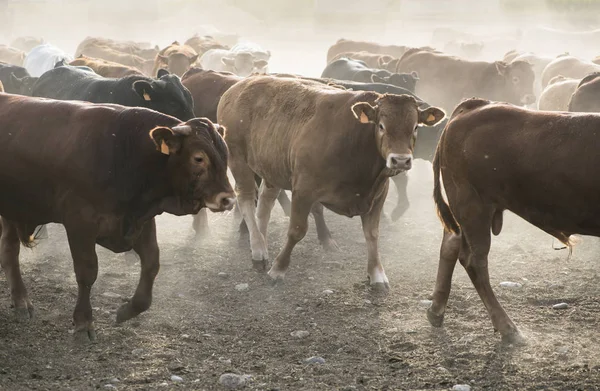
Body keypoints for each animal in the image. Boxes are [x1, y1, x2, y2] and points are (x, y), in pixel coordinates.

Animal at [0, 93, 234, 342]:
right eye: (199, 158)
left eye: (225, 155)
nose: (228, 199)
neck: (124, 151)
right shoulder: (79, 222)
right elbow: (87, 272)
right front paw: (83, 323)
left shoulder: (139, 219)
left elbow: (151, 264)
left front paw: (128, 310)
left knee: (9, 251)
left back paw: (21, 302)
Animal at [218, 76, 442, 288]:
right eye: (381, 126)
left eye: (415, 127)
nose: (401, 160)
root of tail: (239, 86)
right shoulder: (303, 190)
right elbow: (296, 231)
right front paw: (278, 269)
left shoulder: (378, 195)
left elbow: (372, 234)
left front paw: (377, 274)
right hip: (238, 159)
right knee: (246, 198)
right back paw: (258, 249)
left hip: (272, 167)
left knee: (265, 202)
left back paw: (261, 240)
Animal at [428, 99, 600, 346]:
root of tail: (475, 106)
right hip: (473, 207)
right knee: (474, 261)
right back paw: (509, 329)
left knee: (451, 242)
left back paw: (436, 311)